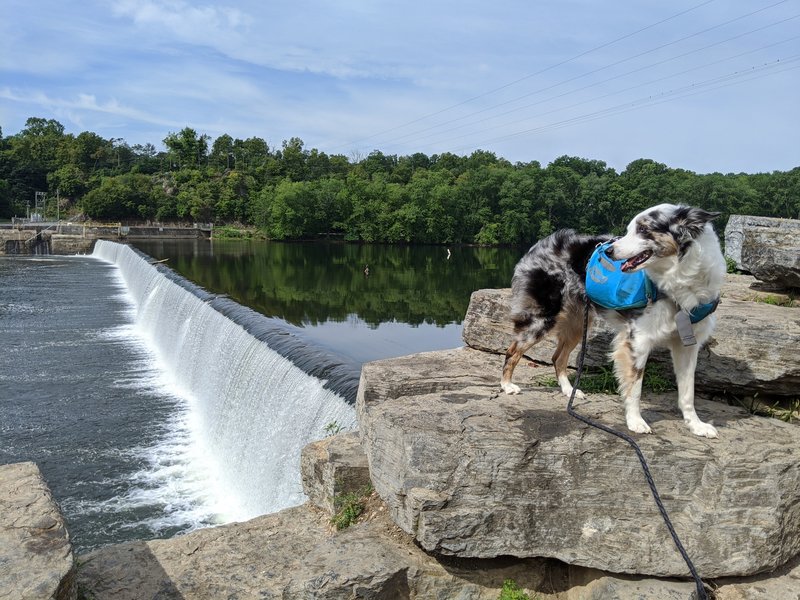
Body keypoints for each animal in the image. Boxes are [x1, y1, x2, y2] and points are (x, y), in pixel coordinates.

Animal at [504, 204, 728, 438]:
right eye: (629, 230)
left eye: (643, 229)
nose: (609, 252)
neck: (679, 281)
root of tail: (539, 244)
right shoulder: (638, 340)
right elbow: (635, 387)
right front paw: (635, 422)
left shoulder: (687, 345)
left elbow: (688, 391)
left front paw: (696, 425)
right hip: (541, 318)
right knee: (512, 351)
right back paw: (507, 386)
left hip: (578, 323)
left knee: (557, 357)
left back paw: (568, 390)